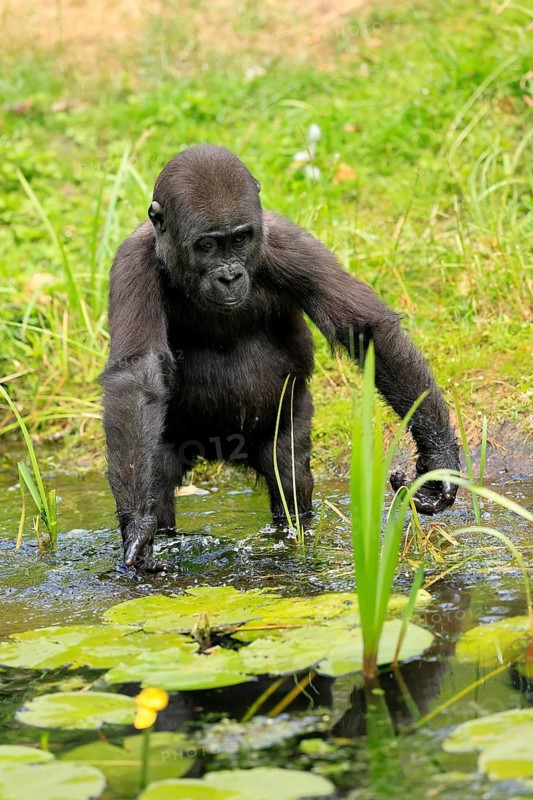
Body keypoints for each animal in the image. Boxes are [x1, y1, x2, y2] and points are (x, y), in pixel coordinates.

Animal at [100, 144, 459, 568]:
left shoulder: (290, 244)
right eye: (207, 245)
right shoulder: (133, 262)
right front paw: (138, 522)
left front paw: (440, 458)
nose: (229, 276)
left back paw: (293, 533)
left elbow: (365, 328)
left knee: (288, 473)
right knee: (161, 475)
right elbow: (137, 376)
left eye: (240, 239)